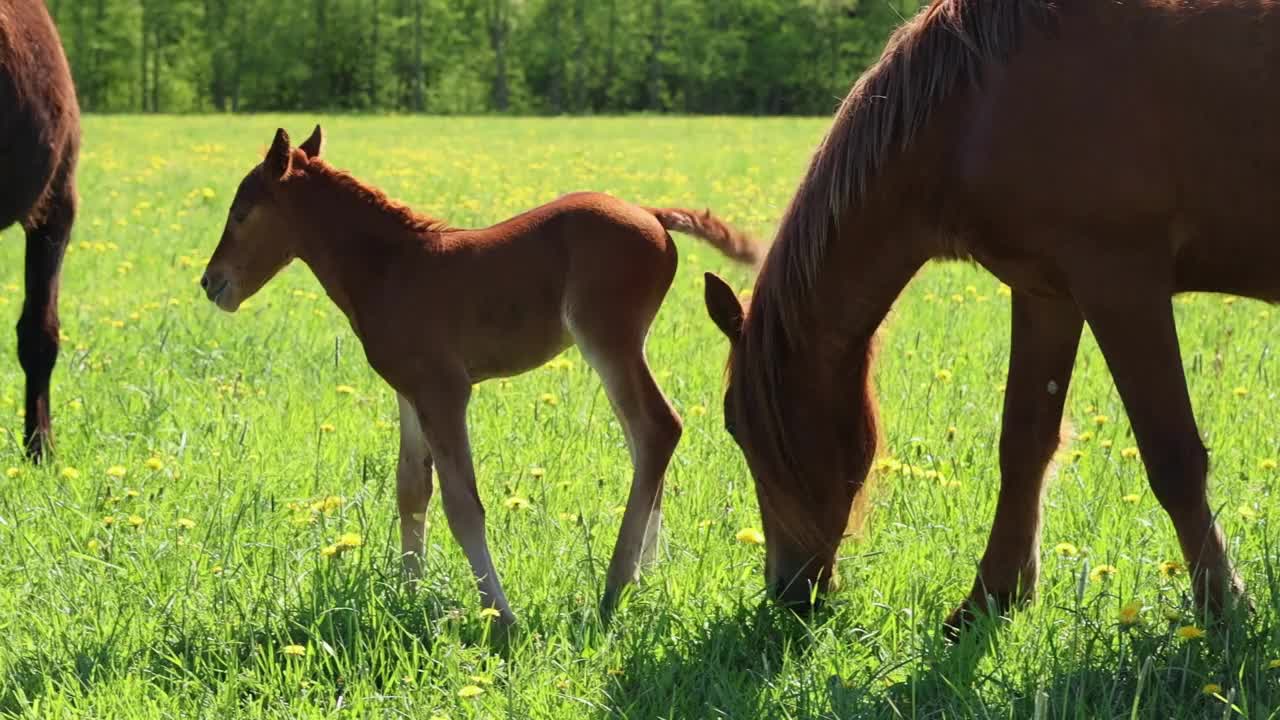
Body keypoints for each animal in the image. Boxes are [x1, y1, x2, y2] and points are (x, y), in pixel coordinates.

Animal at [200, 126, 757, 620]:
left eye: (241, 212)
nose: (210, 282)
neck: (391, 267)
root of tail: (652, 215)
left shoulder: (445, 392)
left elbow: (462, 504)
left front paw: (499, 616)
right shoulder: (410, 393)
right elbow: (411, 489)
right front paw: (409, 595)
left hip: (607, 340)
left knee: (656, 427)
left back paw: (616, 584)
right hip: (622, 346)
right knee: (645, 440)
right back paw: (644, 574)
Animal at [706, 0, 1274, 627]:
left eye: (736, 426)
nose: (787, 591)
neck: (976, 105)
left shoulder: (1121, 284)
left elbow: (1172, 457)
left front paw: (1223, 605)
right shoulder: (1048, 294)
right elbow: (1023, 445)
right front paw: (990, 598)